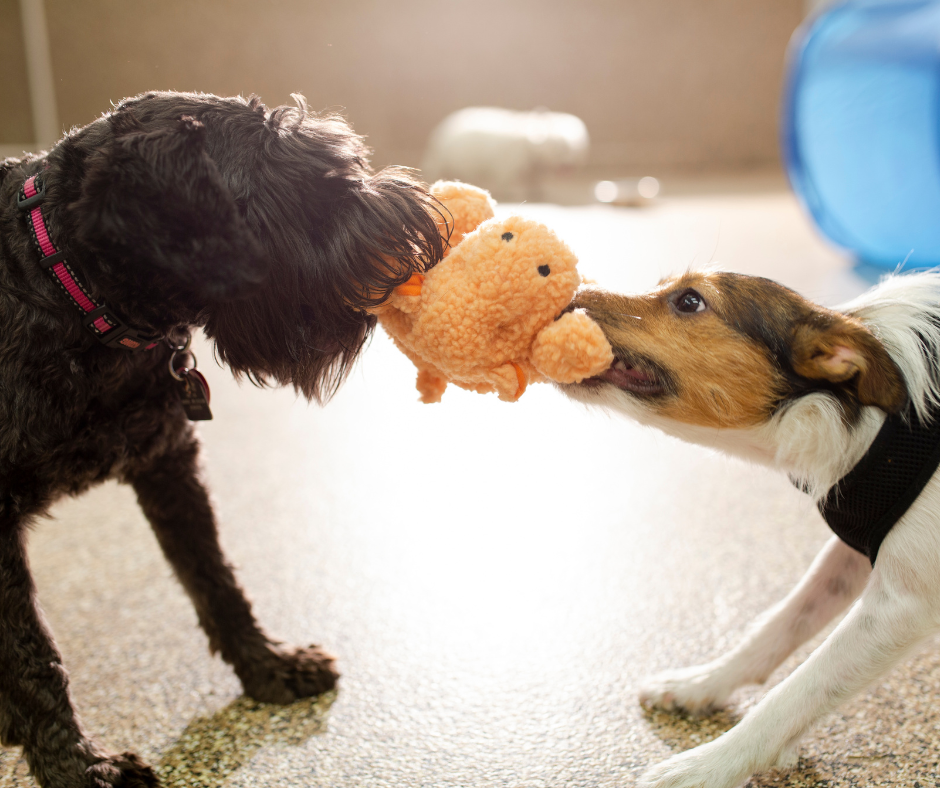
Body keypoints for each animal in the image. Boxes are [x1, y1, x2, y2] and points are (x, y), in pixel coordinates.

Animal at [0, 94, 446, 788]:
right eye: (306, 186)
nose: (419, 221)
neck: (68, 292)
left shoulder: (168, 463)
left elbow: (217, 579)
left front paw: (269, 667)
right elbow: (32, 654)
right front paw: (79, 767)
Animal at [560, 270, 940, 788]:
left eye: (690, 300)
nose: (561, 293)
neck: (873, 424)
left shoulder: (904, 605)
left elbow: (798, 691)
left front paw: (705, 767)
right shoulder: (858, 547)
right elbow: (780, 623)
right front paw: (703, 684)